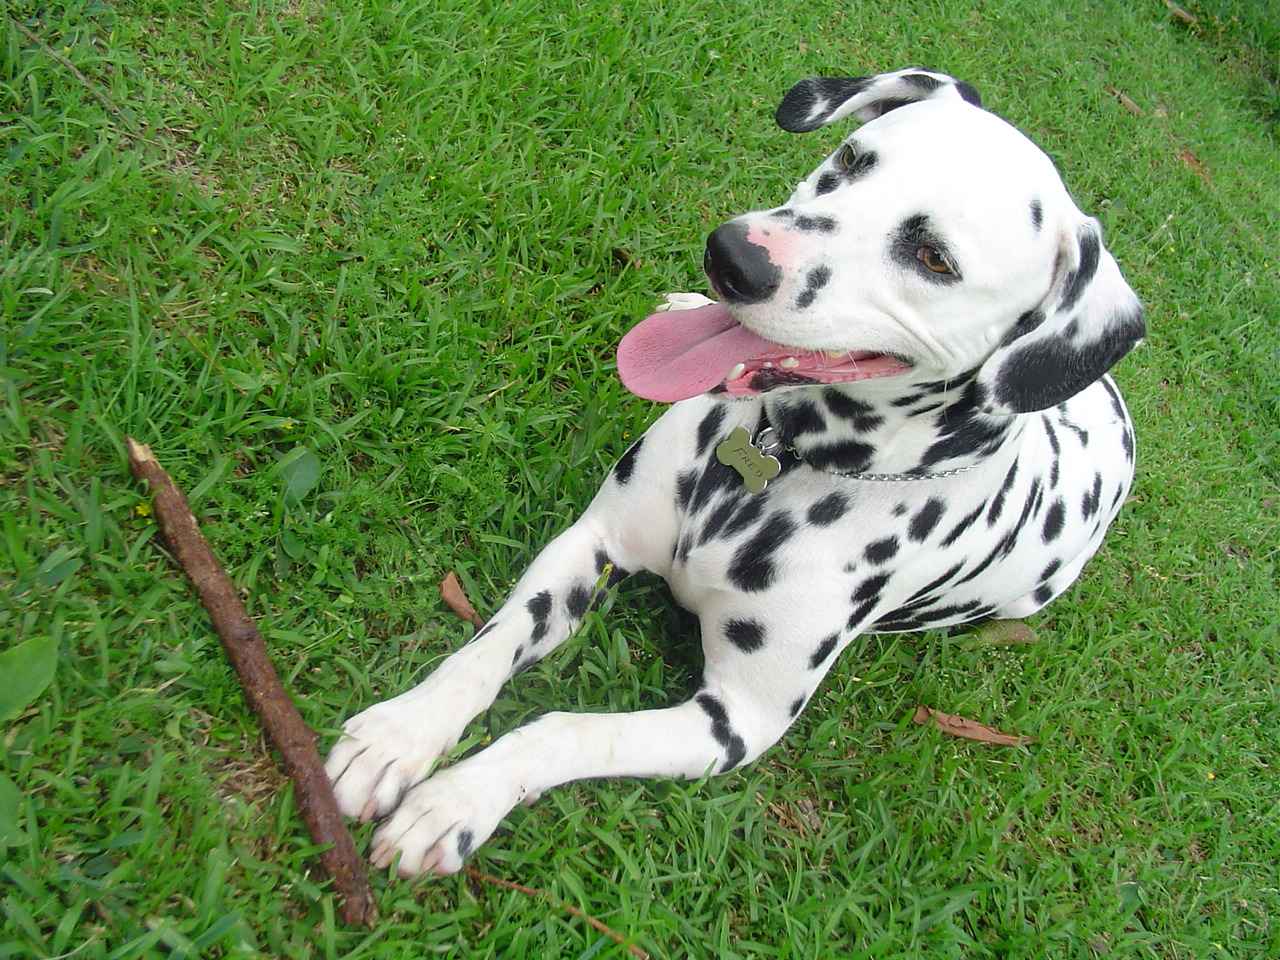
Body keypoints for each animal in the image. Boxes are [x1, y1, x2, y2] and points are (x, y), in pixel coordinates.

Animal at [325, 67, 1146, 880]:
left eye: (936, 259)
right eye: (851, 161)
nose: (732, 258)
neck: (778, 463)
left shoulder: (733, 725)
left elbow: (564, 728)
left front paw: (458, 799)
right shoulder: (591, 543)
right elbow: (489, 646)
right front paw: (402, 734)